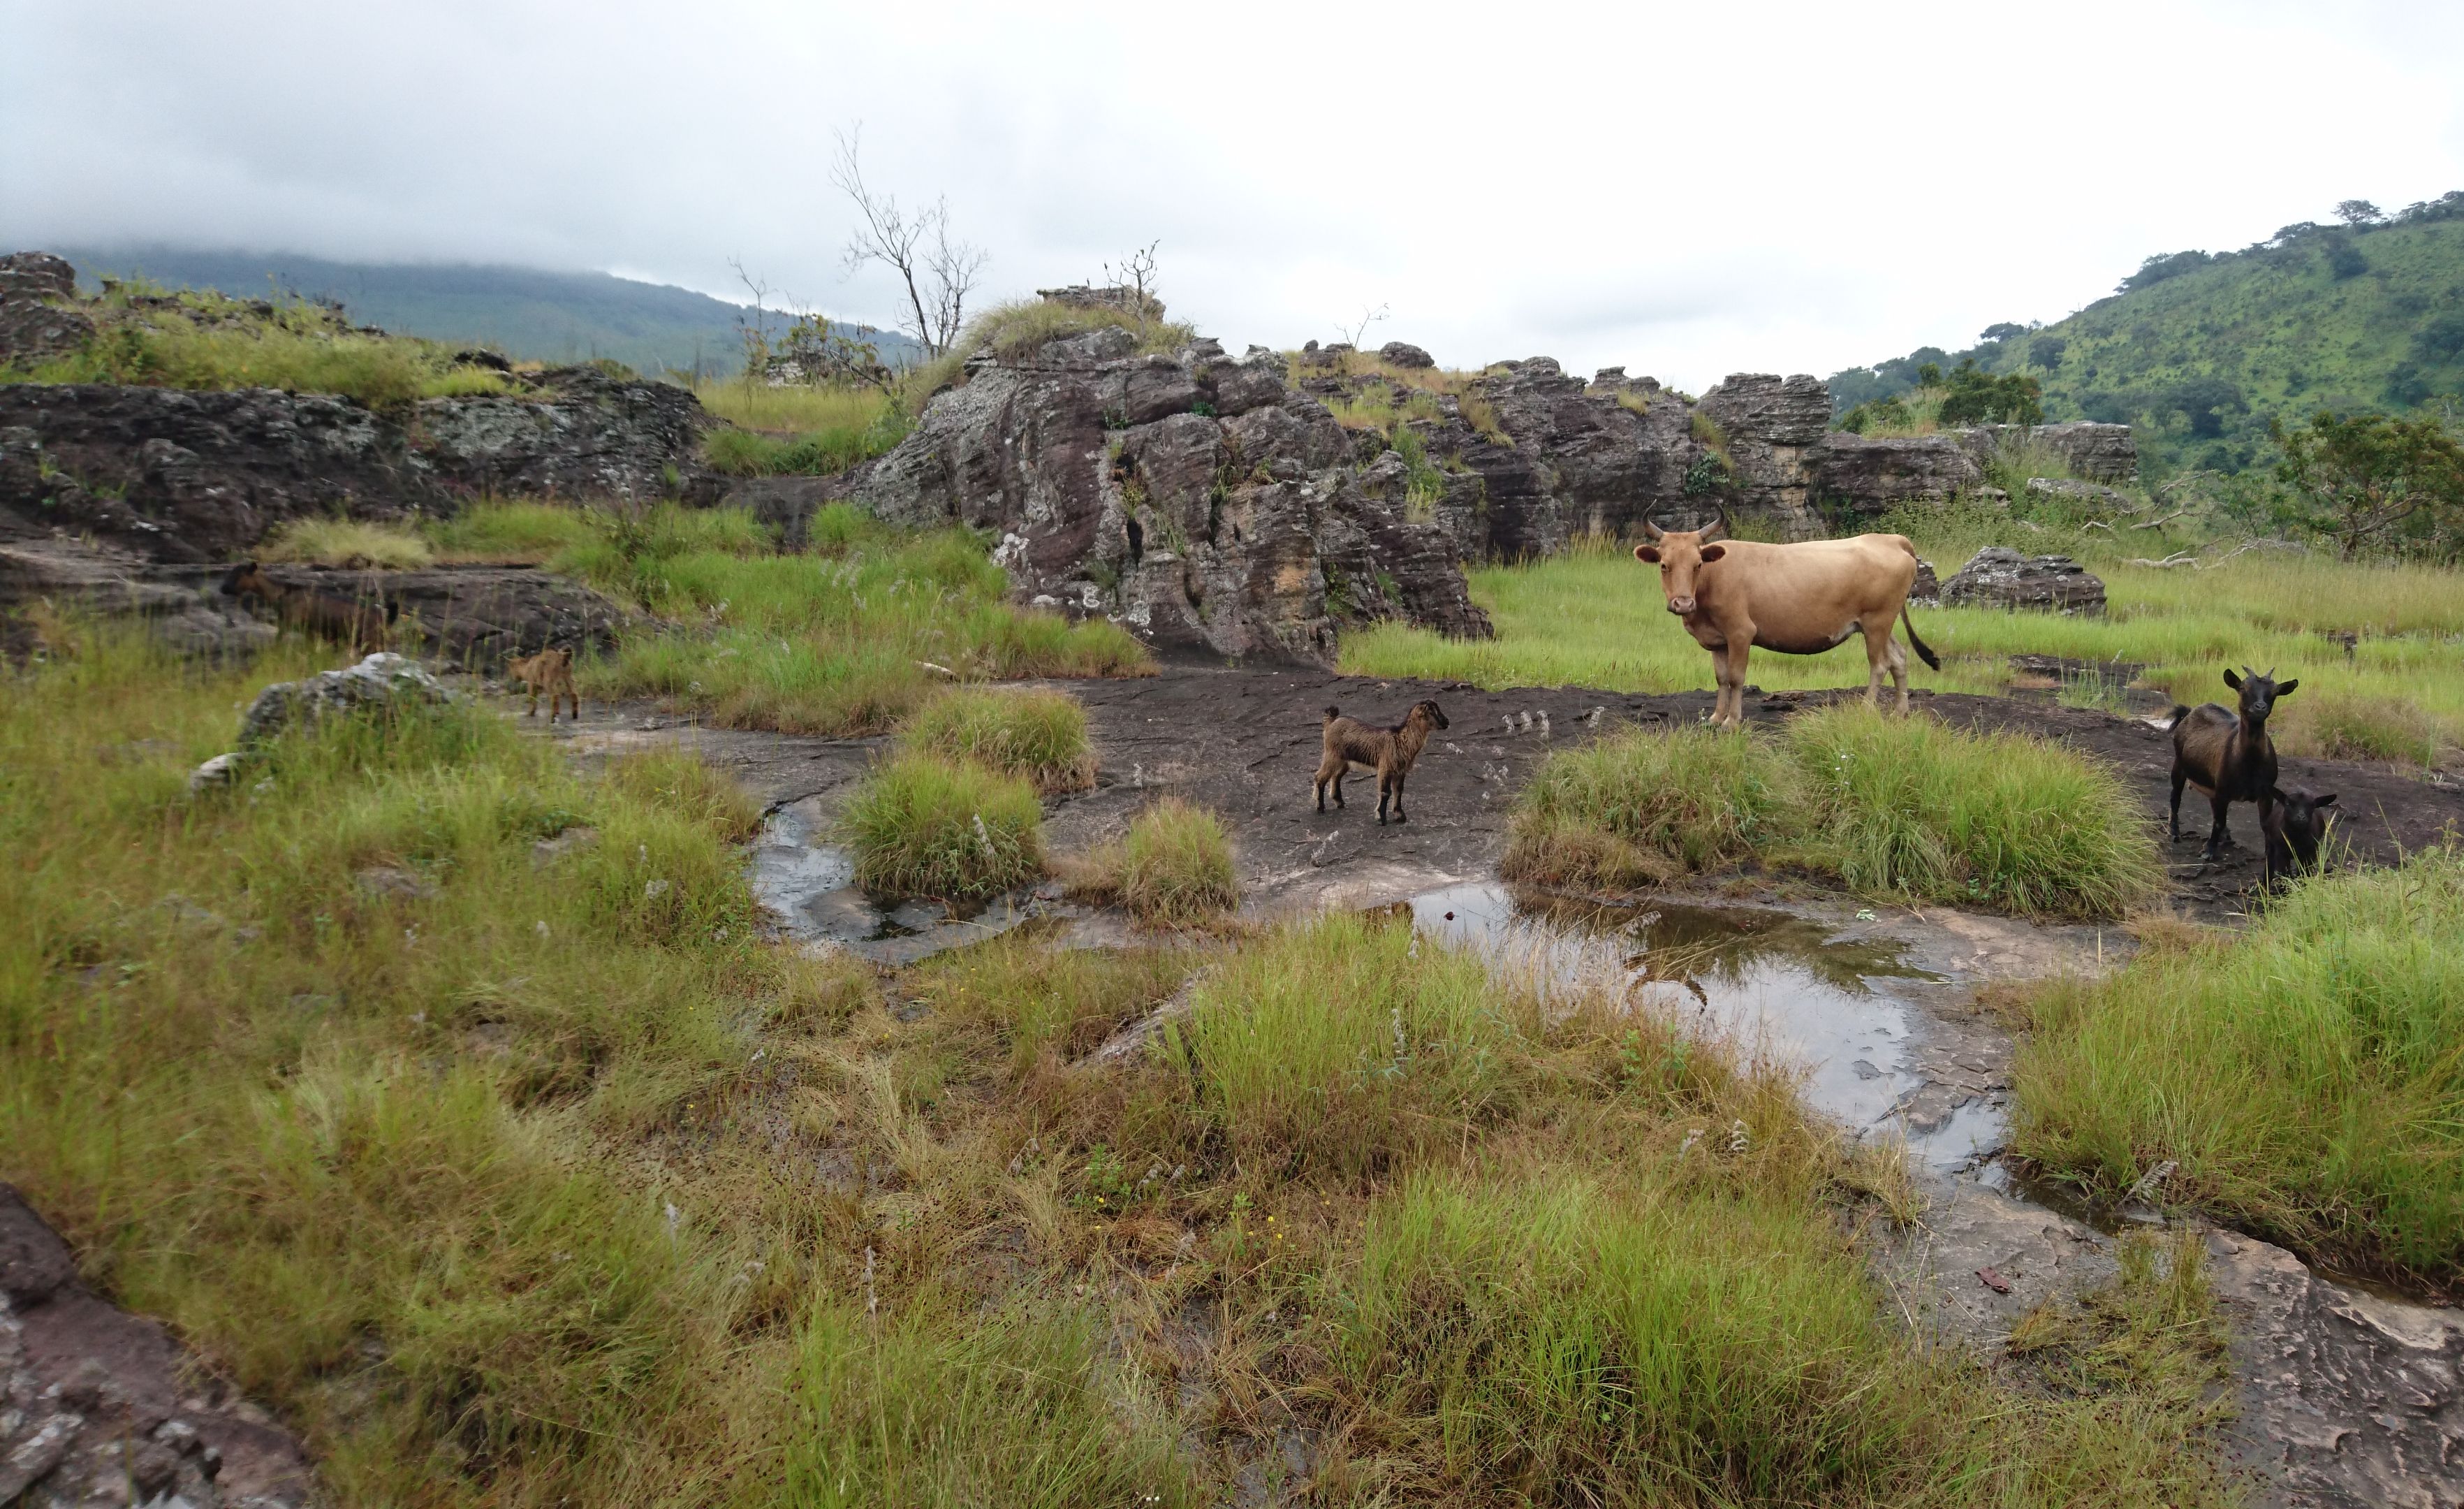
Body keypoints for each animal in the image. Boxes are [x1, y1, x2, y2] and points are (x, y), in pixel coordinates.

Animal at [221, 555, 394, 646]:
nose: (222, 588)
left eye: (238, 574)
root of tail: (385, 617)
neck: (283, 593)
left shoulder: (292, 622)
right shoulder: (309, 631)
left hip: (370, 640)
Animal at [1310, 705, 1439, 833]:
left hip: (1344, 761)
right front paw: (1381, 819)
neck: (1400, 739)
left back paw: (1339, 802)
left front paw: (1400, 816)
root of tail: (1331, 722)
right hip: (1332, 755)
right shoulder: (1385, 768)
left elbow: (1399, 791)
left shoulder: (1400, 772)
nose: (1444, 723)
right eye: (1431, 712)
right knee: (1320, 777)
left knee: (1336, 776)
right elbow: (1386, 792)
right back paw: (1320, 807)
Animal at [2168, 671, 2296, 868]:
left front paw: (2270, 855)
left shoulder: (2265, 793)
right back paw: (2174, 832)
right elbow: (2218, 821)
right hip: (2180, 764)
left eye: (2274, 693)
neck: (2249, 763)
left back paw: (2226, 836)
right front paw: (2208, 851)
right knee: (2176, 796)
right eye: (2243, 688)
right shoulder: (2223, 790)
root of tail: (2189, 712)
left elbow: (2265, 824)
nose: (2260, 707)